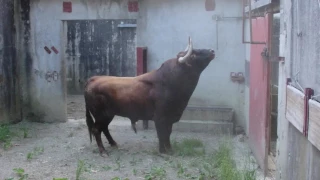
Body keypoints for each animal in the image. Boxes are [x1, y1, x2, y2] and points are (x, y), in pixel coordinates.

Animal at [84, 37, 215, 156]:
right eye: (193, 55)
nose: (212, 51)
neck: (170, 80)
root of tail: (93, 79)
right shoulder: (160, 117)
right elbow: (162, 133)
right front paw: (163, 151)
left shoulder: (170, 117)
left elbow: (168, 133)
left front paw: (169, 149)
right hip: (101, 114)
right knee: (97, 129)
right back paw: (103, 151)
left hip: (108, 114)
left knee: (104, 128)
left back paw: (114, 144)